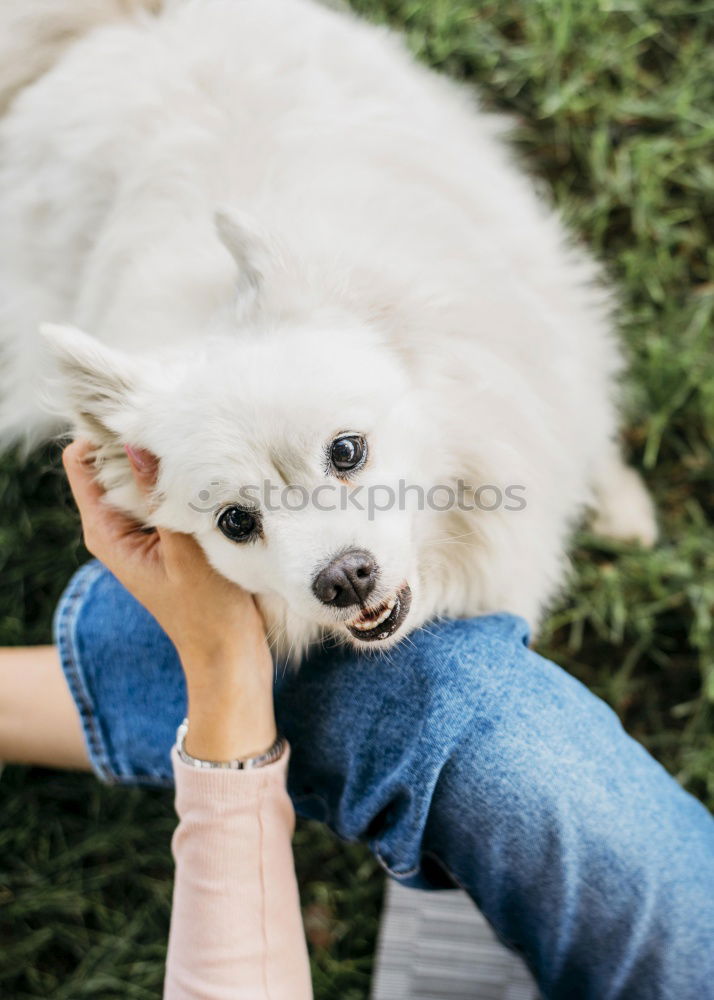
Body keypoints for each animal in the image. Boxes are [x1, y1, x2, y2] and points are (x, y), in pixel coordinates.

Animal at [0, 0, 652, 656]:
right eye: (235, 522)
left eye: (346, 451)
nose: (344, 578)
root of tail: (123, 22)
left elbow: (588, 427)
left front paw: (622, 510)